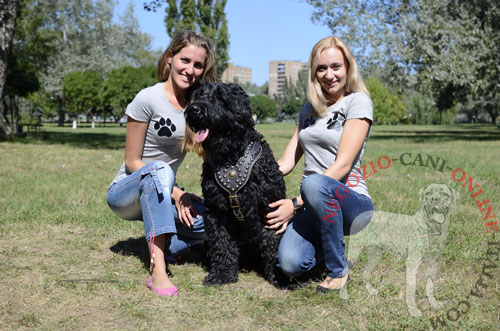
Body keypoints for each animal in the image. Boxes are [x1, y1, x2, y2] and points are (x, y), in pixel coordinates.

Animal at [184, 82, 288, 288]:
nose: (194, 109)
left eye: (219, 97)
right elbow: (221, 244)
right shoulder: (216, 211)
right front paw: (222, 274)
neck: (231, 157)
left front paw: (278, 277)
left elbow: (273, 242)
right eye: (198, 95)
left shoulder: (271, 209)